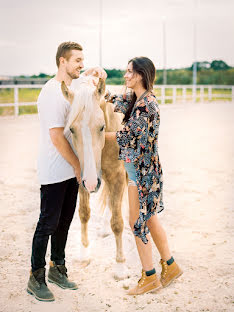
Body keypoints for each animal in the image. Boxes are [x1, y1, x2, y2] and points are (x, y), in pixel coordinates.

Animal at [60, 77, 126, 276]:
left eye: (101, 127)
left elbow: (117, 222)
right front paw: (84, 254)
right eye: (72, 129)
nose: (91, 183)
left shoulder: (118, 177)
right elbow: (84, 213)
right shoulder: (81, 178)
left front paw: (120, 267)